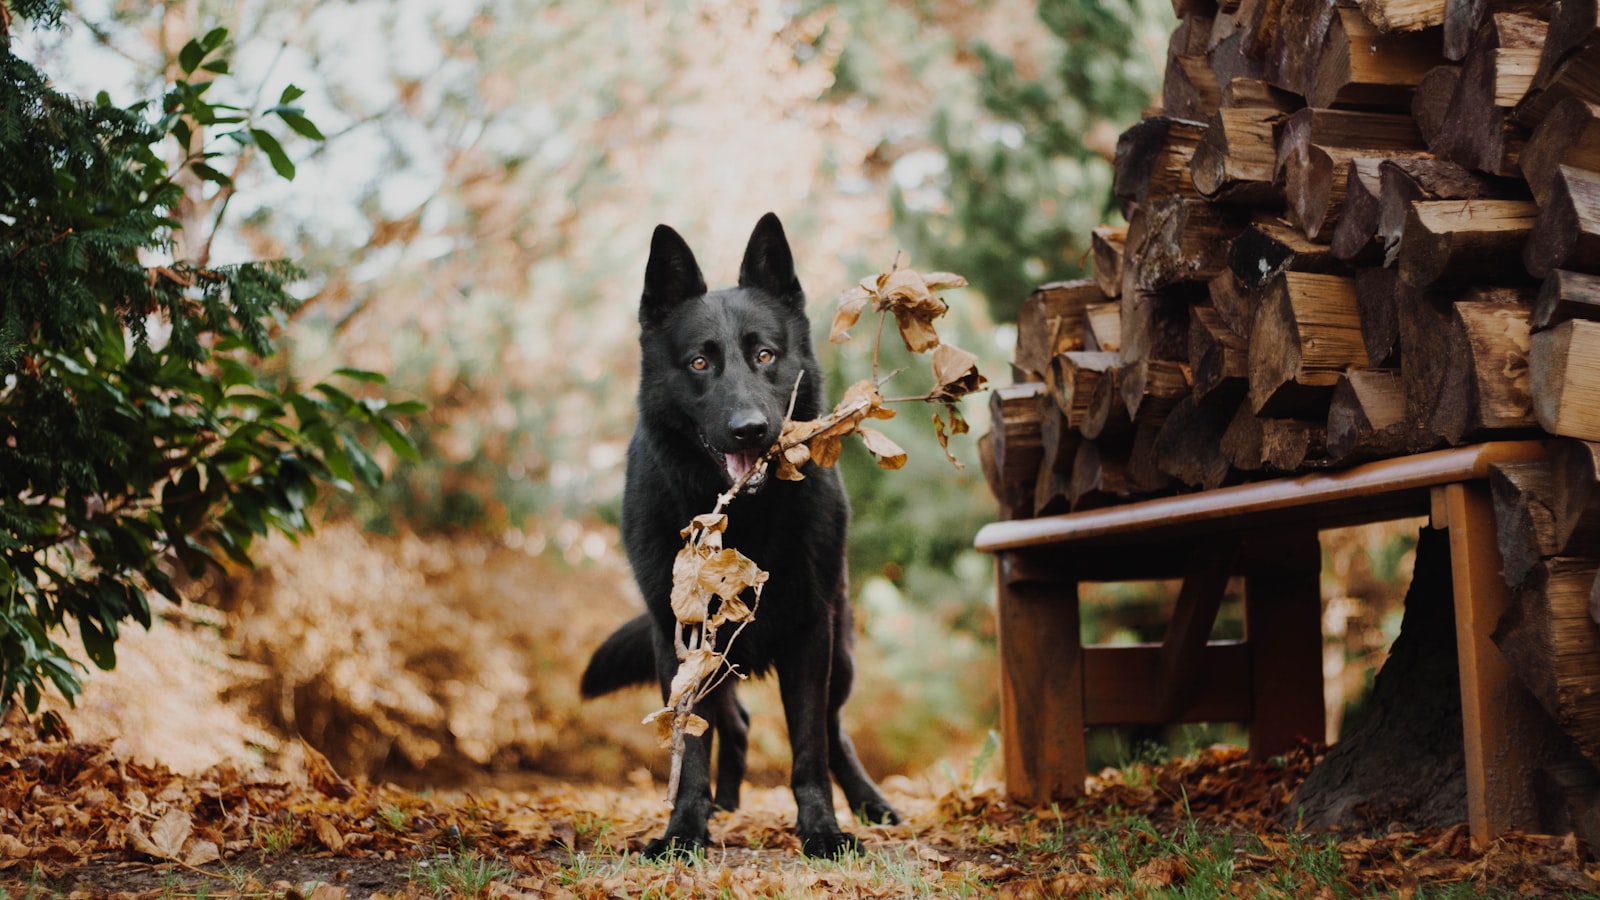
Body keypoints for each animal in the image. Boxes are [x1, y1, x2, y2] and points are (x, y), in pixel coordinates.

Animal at [582, 211, 902, 851]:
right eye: (700, 363)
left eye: (765, 355)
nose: (750, 430)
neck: (742, 522)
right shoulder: (678, 642)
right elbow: (691, 745)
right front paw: (685, 830)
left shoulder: (812, 632)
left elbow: (809, 745)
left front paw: (822, 830)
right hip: (712, 662)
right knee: (734, 722)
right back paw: (723, 803)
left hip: (842, 655)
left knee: (834, 731)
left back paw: (868, 802)